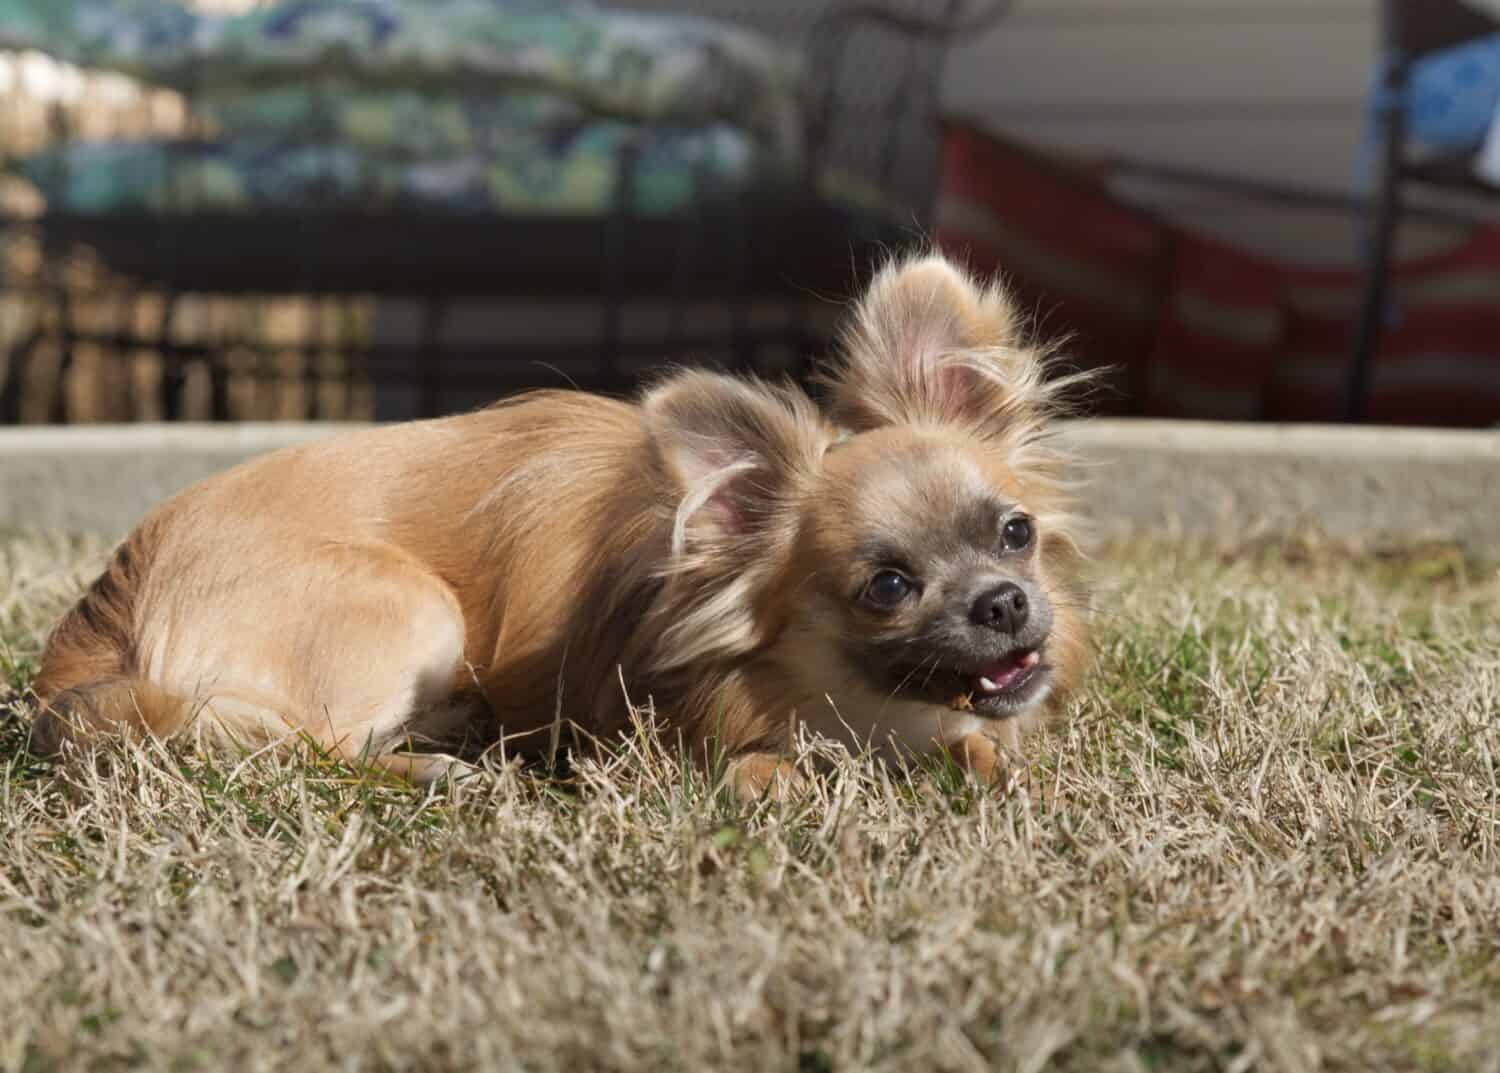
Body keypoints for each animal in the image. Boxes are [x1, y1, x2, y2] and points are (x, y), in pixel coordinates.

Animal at [29, 256, 1086, 798]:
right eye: (888, 586)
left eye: (1016, 534)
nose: (1005, 602)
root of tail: (106, 614)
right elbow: (765, 771)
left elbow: (980, 745)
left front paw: (984, 761)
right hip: (412, 603)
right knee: (312, 752)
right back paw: (437, 768)